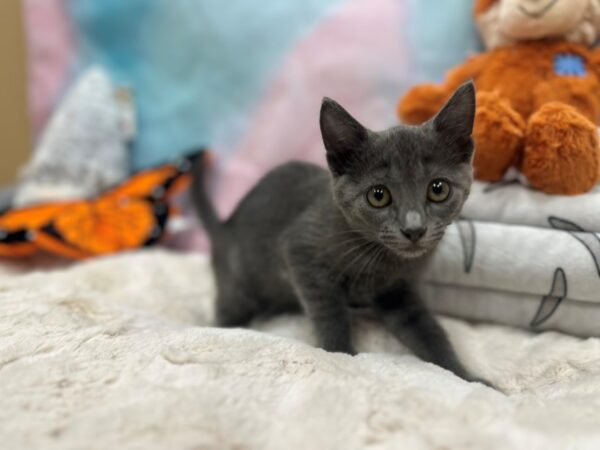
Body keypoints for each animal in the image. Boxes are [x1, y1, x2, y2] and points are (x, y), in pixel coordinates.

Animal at [195, 81, 486, 384]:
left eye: (438, 189)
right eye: (378, 196)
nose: (414, 228)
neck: (382, 259)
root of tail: (224, 227)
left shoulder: (399, 291)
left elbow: (428, 331)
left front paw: (469, 377)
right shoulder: (301, 250)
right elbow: (329, 312)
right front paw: (342, 357)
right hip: (238, 286)